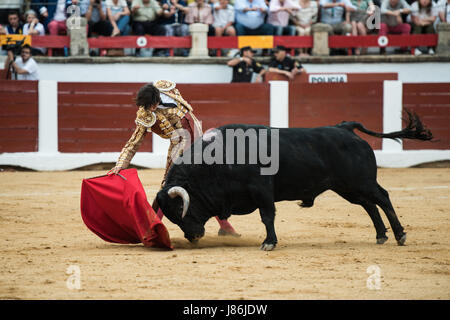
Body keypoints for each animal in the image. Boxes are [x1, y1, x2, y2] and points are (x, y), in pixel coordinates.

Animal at [155, 111, 432, 251]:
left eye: (180, 209)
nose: (192, 237)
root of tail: (344, 127)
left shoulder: (262, 191)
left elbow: (267, 216)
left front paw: (269, 242)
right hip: (348, 187)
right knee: (369, 205)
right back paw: (381, 236)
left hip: (362, 182)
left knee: (382, 198)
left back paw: (399, 235)